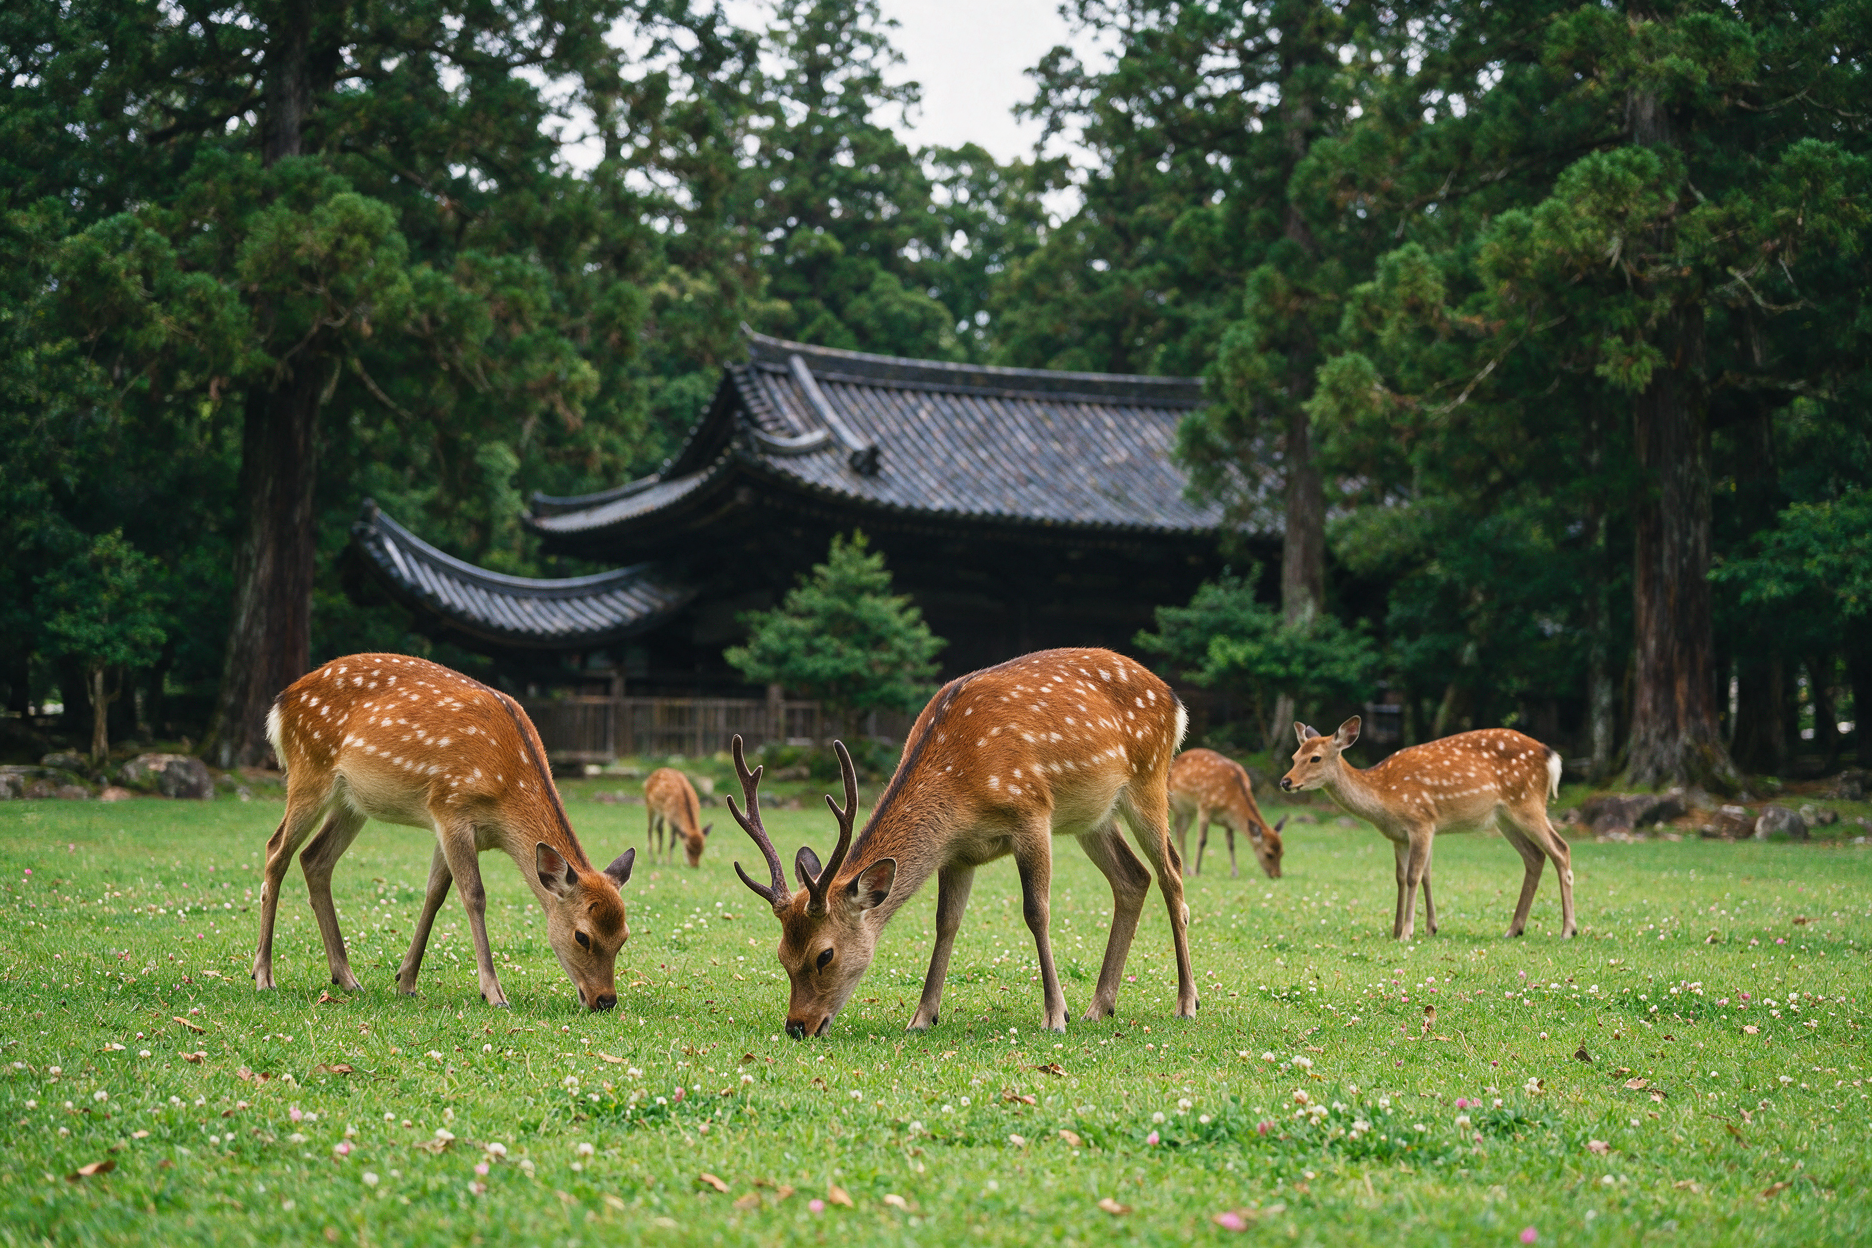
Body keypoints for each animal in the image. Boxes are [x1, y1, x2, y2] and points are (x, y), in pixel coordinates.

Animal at [252, 653, 637, 1011]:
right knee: (276, 850)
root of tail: (281, 703)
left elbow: (435, 893)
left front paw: (405, 981)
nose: (606, 999)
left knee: (314, 858)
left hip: (351, 801)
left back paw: (346, 978)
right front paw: (493, 992)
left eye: (624, 937)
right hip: (308, 770)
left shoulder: (450, 824)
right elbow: (474, 895)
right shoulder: (451, 808)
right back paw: (263, 974)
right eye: (582, 936)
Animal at [724, 647, 1199, 1039]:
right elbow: (945, 922)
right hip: (1093, 817)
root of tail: (1174, 700)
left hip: (1149, 779)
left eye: (825, 955)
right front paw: (922, 1017)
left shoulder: (1032, 812)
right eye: (782, 955)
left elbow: (1036, 912)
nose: (796, 1026)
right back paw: (1100, 1006)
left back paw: (1186, 1002)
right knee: (1133, 878)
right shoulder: (957, 854)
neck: (960, 789)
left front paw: (1054, 1015)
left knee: (1172, 874)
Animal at [1168, 748, 1286, 879]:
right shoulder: (1204, 806)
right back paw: (1187, 869)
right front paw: (1197, 871)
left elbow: (1231, 843)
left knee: (1180, 833)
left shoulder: (1228, 822)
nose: (1277, 874)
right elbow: (1202, 840)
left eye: (1282, 853)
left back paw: (1185, 869)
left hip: (1186, 811)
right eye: (1269, 854)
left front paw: (1234, 872)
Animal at [1278, 717, 1575, 941]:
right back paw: (1514, 929)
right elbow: (1404, 877)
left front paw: (1407, 932)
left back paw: (1567, 930)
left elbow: (1414, 876)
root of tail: (1551, 757)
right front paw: (1403, 928)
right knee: (1535, 856)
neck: (1383, 796)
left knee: (1561, 849)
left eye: (1315, 758)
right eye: (1294, 756)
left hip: (1528, 803)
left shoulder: (1421, 821)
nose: (1285, 781)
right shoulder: (1399, 836)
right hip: (1504, 817)